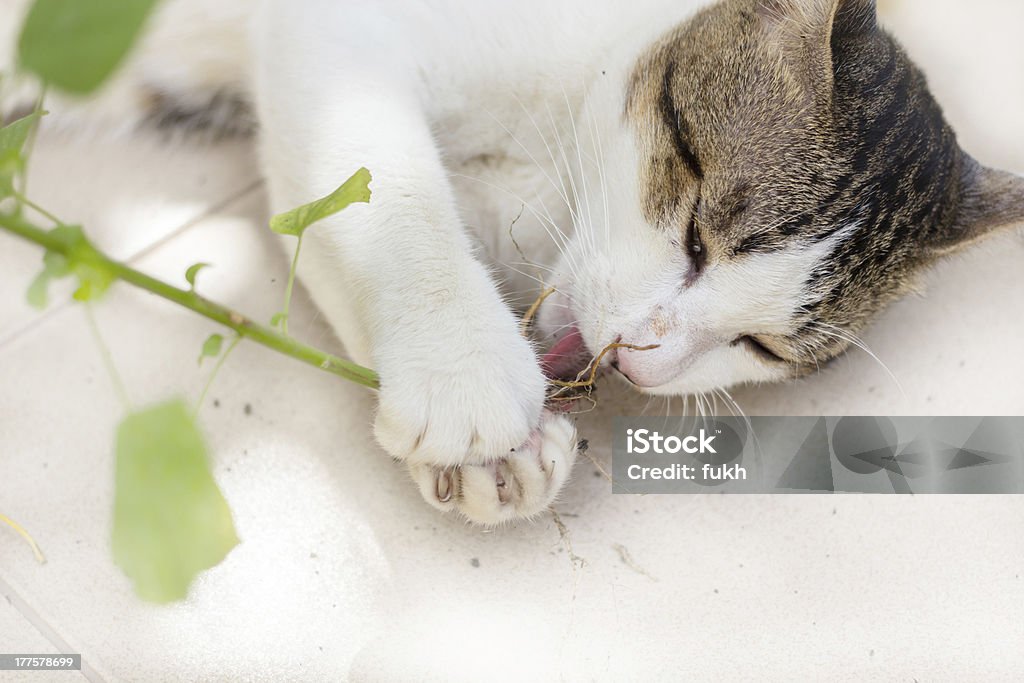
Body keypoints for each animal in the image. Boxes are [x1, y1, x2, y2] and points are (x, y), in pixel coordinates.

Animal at [4, 0, 1019, 524]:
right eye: (697, 230)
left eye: (763, 347)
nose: (649, 354)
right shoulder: (335, 32)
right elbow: (380, 183)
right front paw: (463, 378)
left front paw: (503, 453)